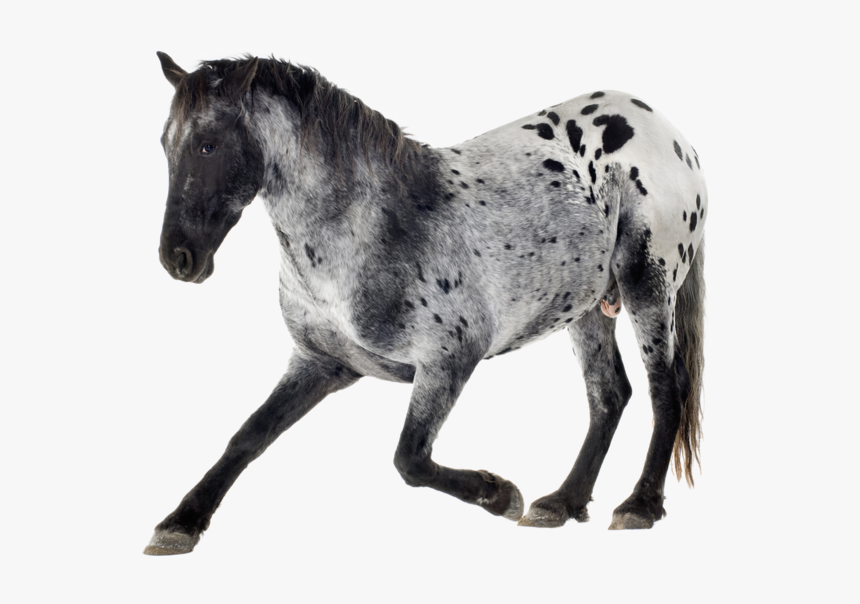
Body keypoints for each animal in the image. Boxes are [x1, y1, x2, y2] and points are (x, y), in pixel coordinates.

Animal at [144, 52, 706, 555]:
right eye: (165, 144)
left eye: (208, 145)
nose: (179, 258)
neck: (368, 230)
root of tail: (670, 134)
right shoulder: (320, 364)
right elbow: (248, 436)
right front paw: (178, 525)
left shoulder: (449, 360)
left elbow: (409, 459)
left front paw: (500, 494)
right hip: (586, 308)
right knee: (609, 394)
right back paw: (561, 503)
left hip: (647, 284)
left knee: (666, 388)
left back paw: (638, 506)